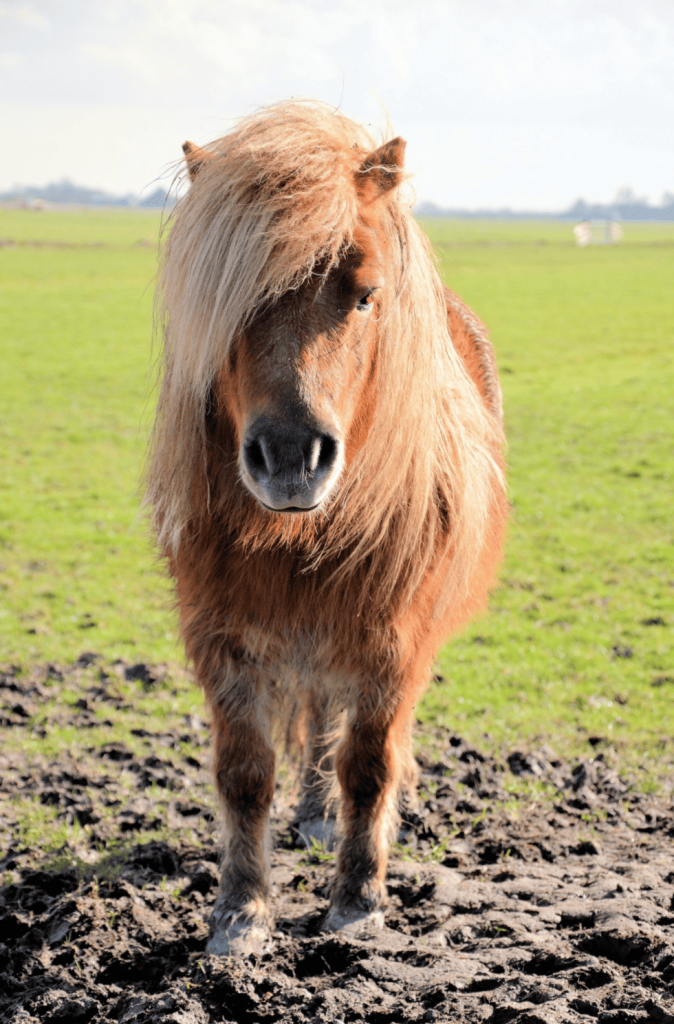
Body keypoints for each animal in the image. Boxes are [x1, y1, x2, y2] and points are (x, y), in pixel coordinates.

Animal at [145, 99, 503, 954]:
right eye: (227, 301)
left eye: (366, 295)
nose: (290, 456)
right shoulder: (225, 638)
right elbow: (245, 773)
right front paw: (241, 913)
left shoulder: (392, 643)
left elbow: (369, 763)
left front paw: (358, 901)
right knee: (312, 724)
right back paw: (309, 815)